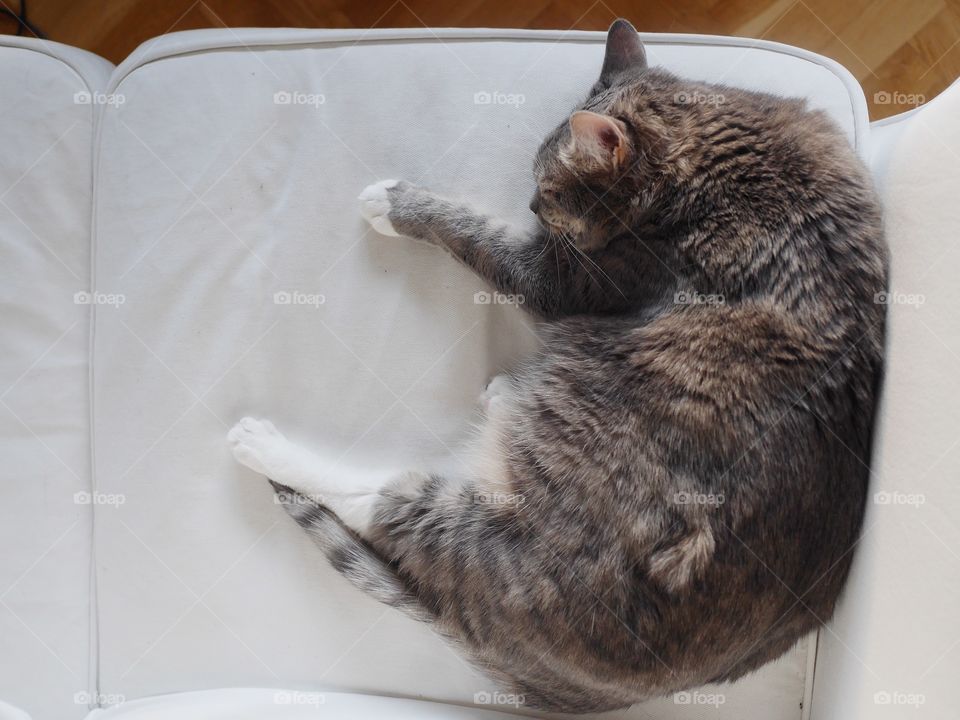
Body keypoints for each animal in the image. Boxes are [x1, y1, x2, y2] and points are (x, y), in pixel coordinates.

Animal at [229, 18, 888, 716]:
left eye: (547, 190)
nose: (530, 206)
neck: (723, 165)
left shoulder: (563, 281)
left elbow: (477, 235)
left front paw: (396, 203)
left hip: (506, 532)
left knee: (386, 507)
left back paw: (263, 444)